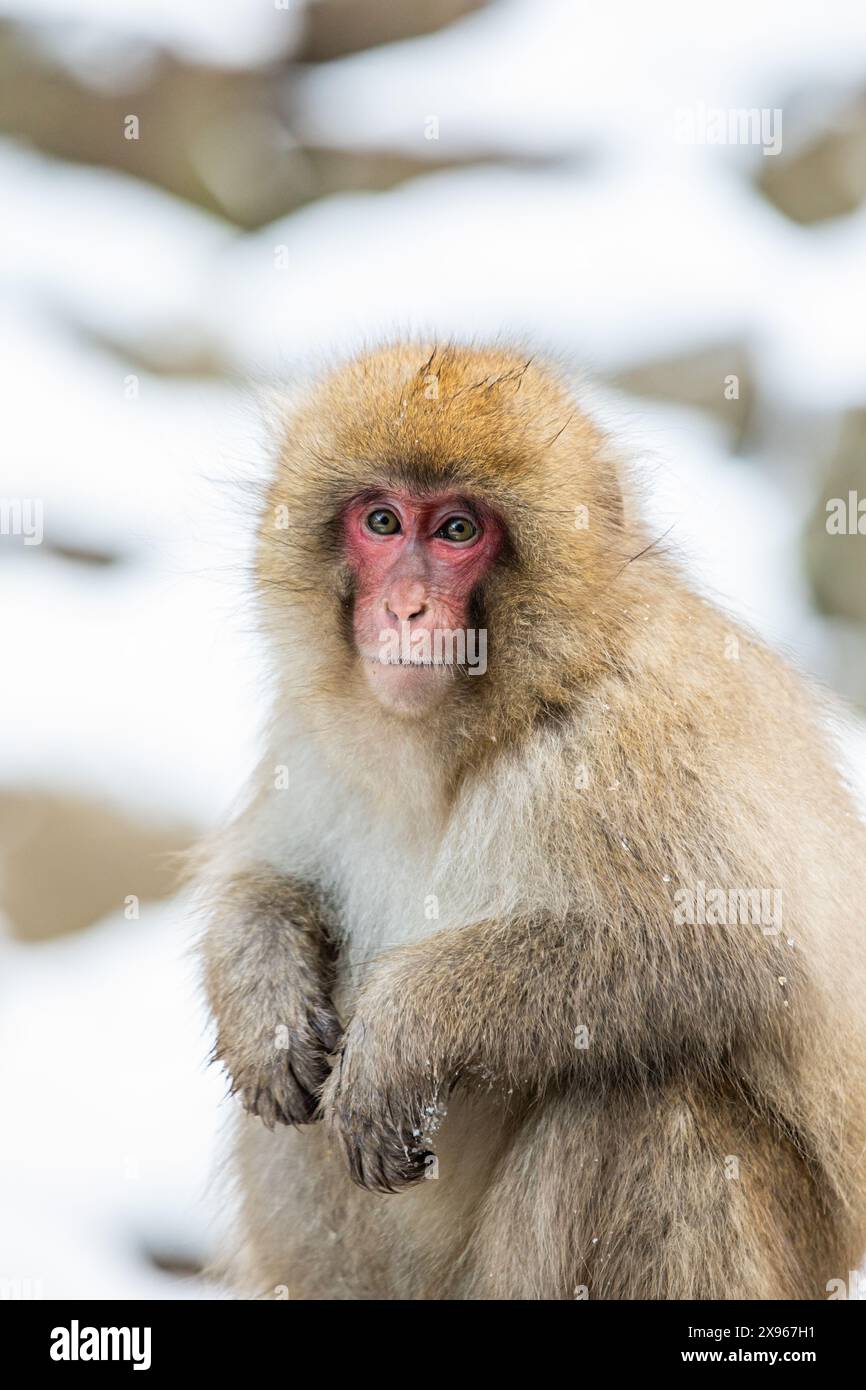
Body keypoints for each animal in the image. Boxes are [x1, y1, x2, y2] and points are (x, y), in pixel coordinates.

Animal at [201, 341, 866, 1295]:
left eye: (457, 532)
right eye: (381, 521)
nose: (404, 608)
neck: (474, 735)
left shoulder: (632, 738)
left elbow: (730, 949)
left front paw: (406, 1029)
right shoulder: (312, 733)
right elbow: (268, 881)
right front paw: (265, 999)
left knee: (650, 1102)